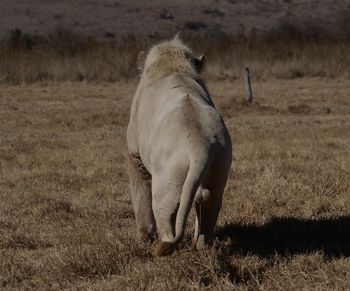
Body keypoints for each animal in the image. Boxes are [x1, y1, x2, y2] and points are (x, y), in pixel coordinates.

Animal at [126, 34, 232, 256]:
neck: (172, 67)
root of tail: (200, 145)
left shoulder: (134, 156)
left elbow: (140, 198)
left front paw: (143, 238)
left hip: (165, 188)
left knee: (166, 220)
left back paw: (160, 249)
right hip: (219, 172)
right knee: (208, 210)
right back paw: (200, 246)